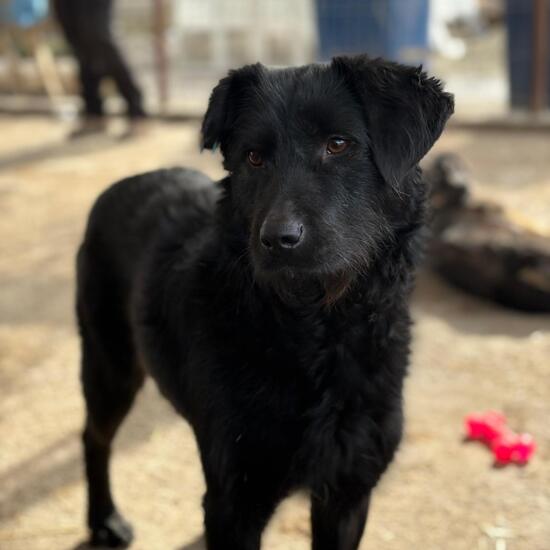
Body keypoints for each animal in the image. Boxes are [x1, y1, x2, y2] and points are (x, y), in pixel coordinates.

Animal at [76, 54, 453, 549]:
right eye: (253, 157)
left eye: (338, 144)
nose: (278, 240)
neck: (320, 334)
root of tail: (120, 184)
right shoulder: (233, 503)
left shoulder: (347, 491)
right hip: (111, 369)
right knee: (93, 437)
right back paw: (103, 519)